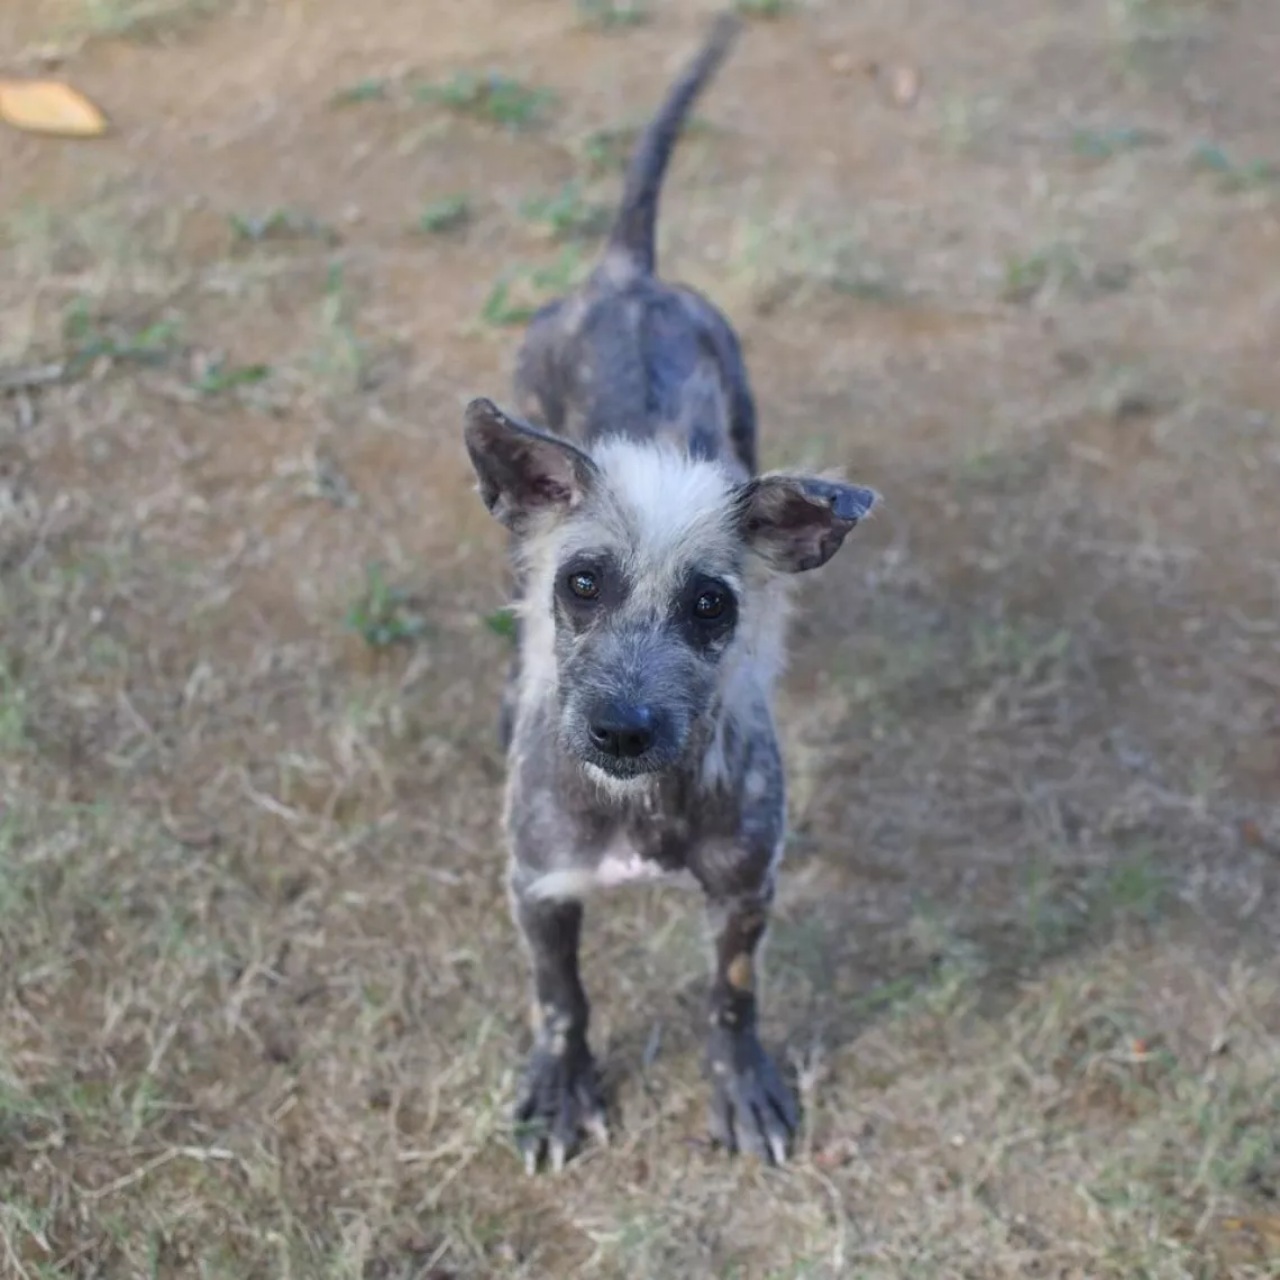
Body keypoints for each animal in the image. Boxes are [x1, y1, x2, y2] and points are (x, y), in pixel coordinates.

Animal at [463, 12, 880, 1172]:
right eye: (581, 583)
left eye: (711, 605)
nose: (620, 729)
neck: (641, 807)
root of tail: (625, 275)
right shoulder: (539, 888)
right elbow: (560, 998)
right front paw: (559, 1089)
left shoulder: (745, 890)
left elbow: (729, 996)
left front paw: (742, 1087)